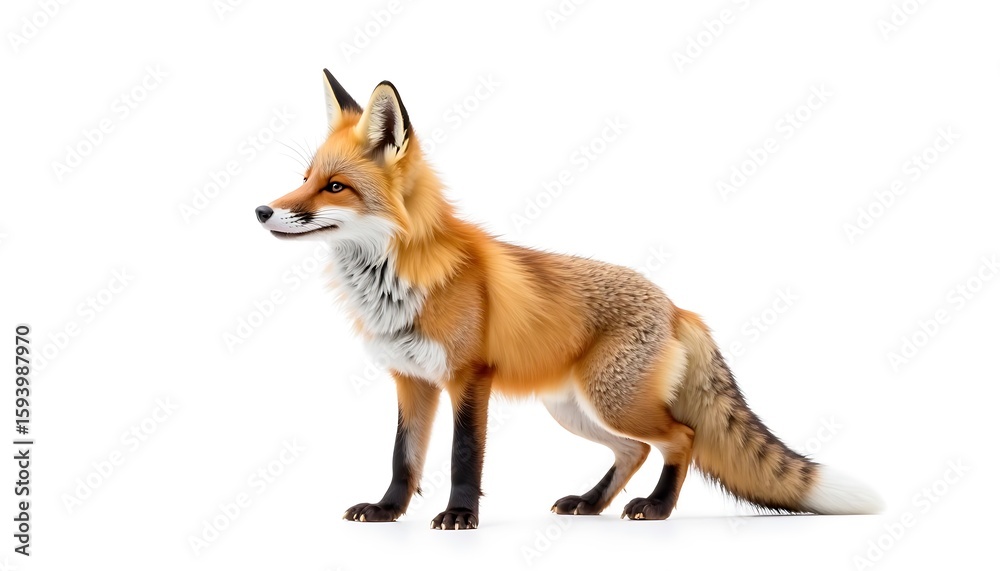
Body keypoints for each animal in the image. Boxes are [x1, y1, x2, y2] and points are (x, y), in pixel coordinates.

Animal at [255, 69, 884, 530]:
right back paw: (590, 503)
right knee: (633, 452)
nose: (261, 210)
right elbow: (402, 457)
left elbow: (463, 456)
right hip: (575, 409)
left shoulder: (468, 378)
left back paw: (657, 508)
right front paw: (387, 510)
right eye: (304, 177)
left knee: (681, 437)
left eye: (335, 187)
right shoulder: (411, 381)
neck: (401, 280)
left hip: (612, 402)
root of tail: (678, 307)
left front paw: (460, 515)